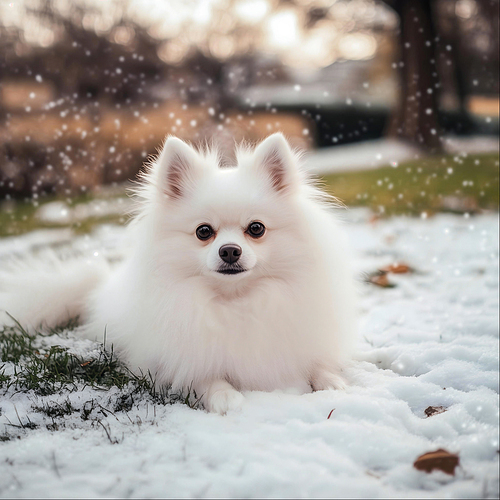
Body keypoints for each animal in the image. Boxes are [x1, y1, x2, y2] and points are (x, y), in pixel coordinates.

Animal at [0, 134, 360, 414]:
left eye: (256, 229)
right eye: (204, 232)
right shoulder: (177, 360)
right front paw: (226, 397)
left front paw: (333, 382)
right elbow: (204, 376)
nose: (230, 251)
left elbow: (318, 363)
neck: (236, 301)